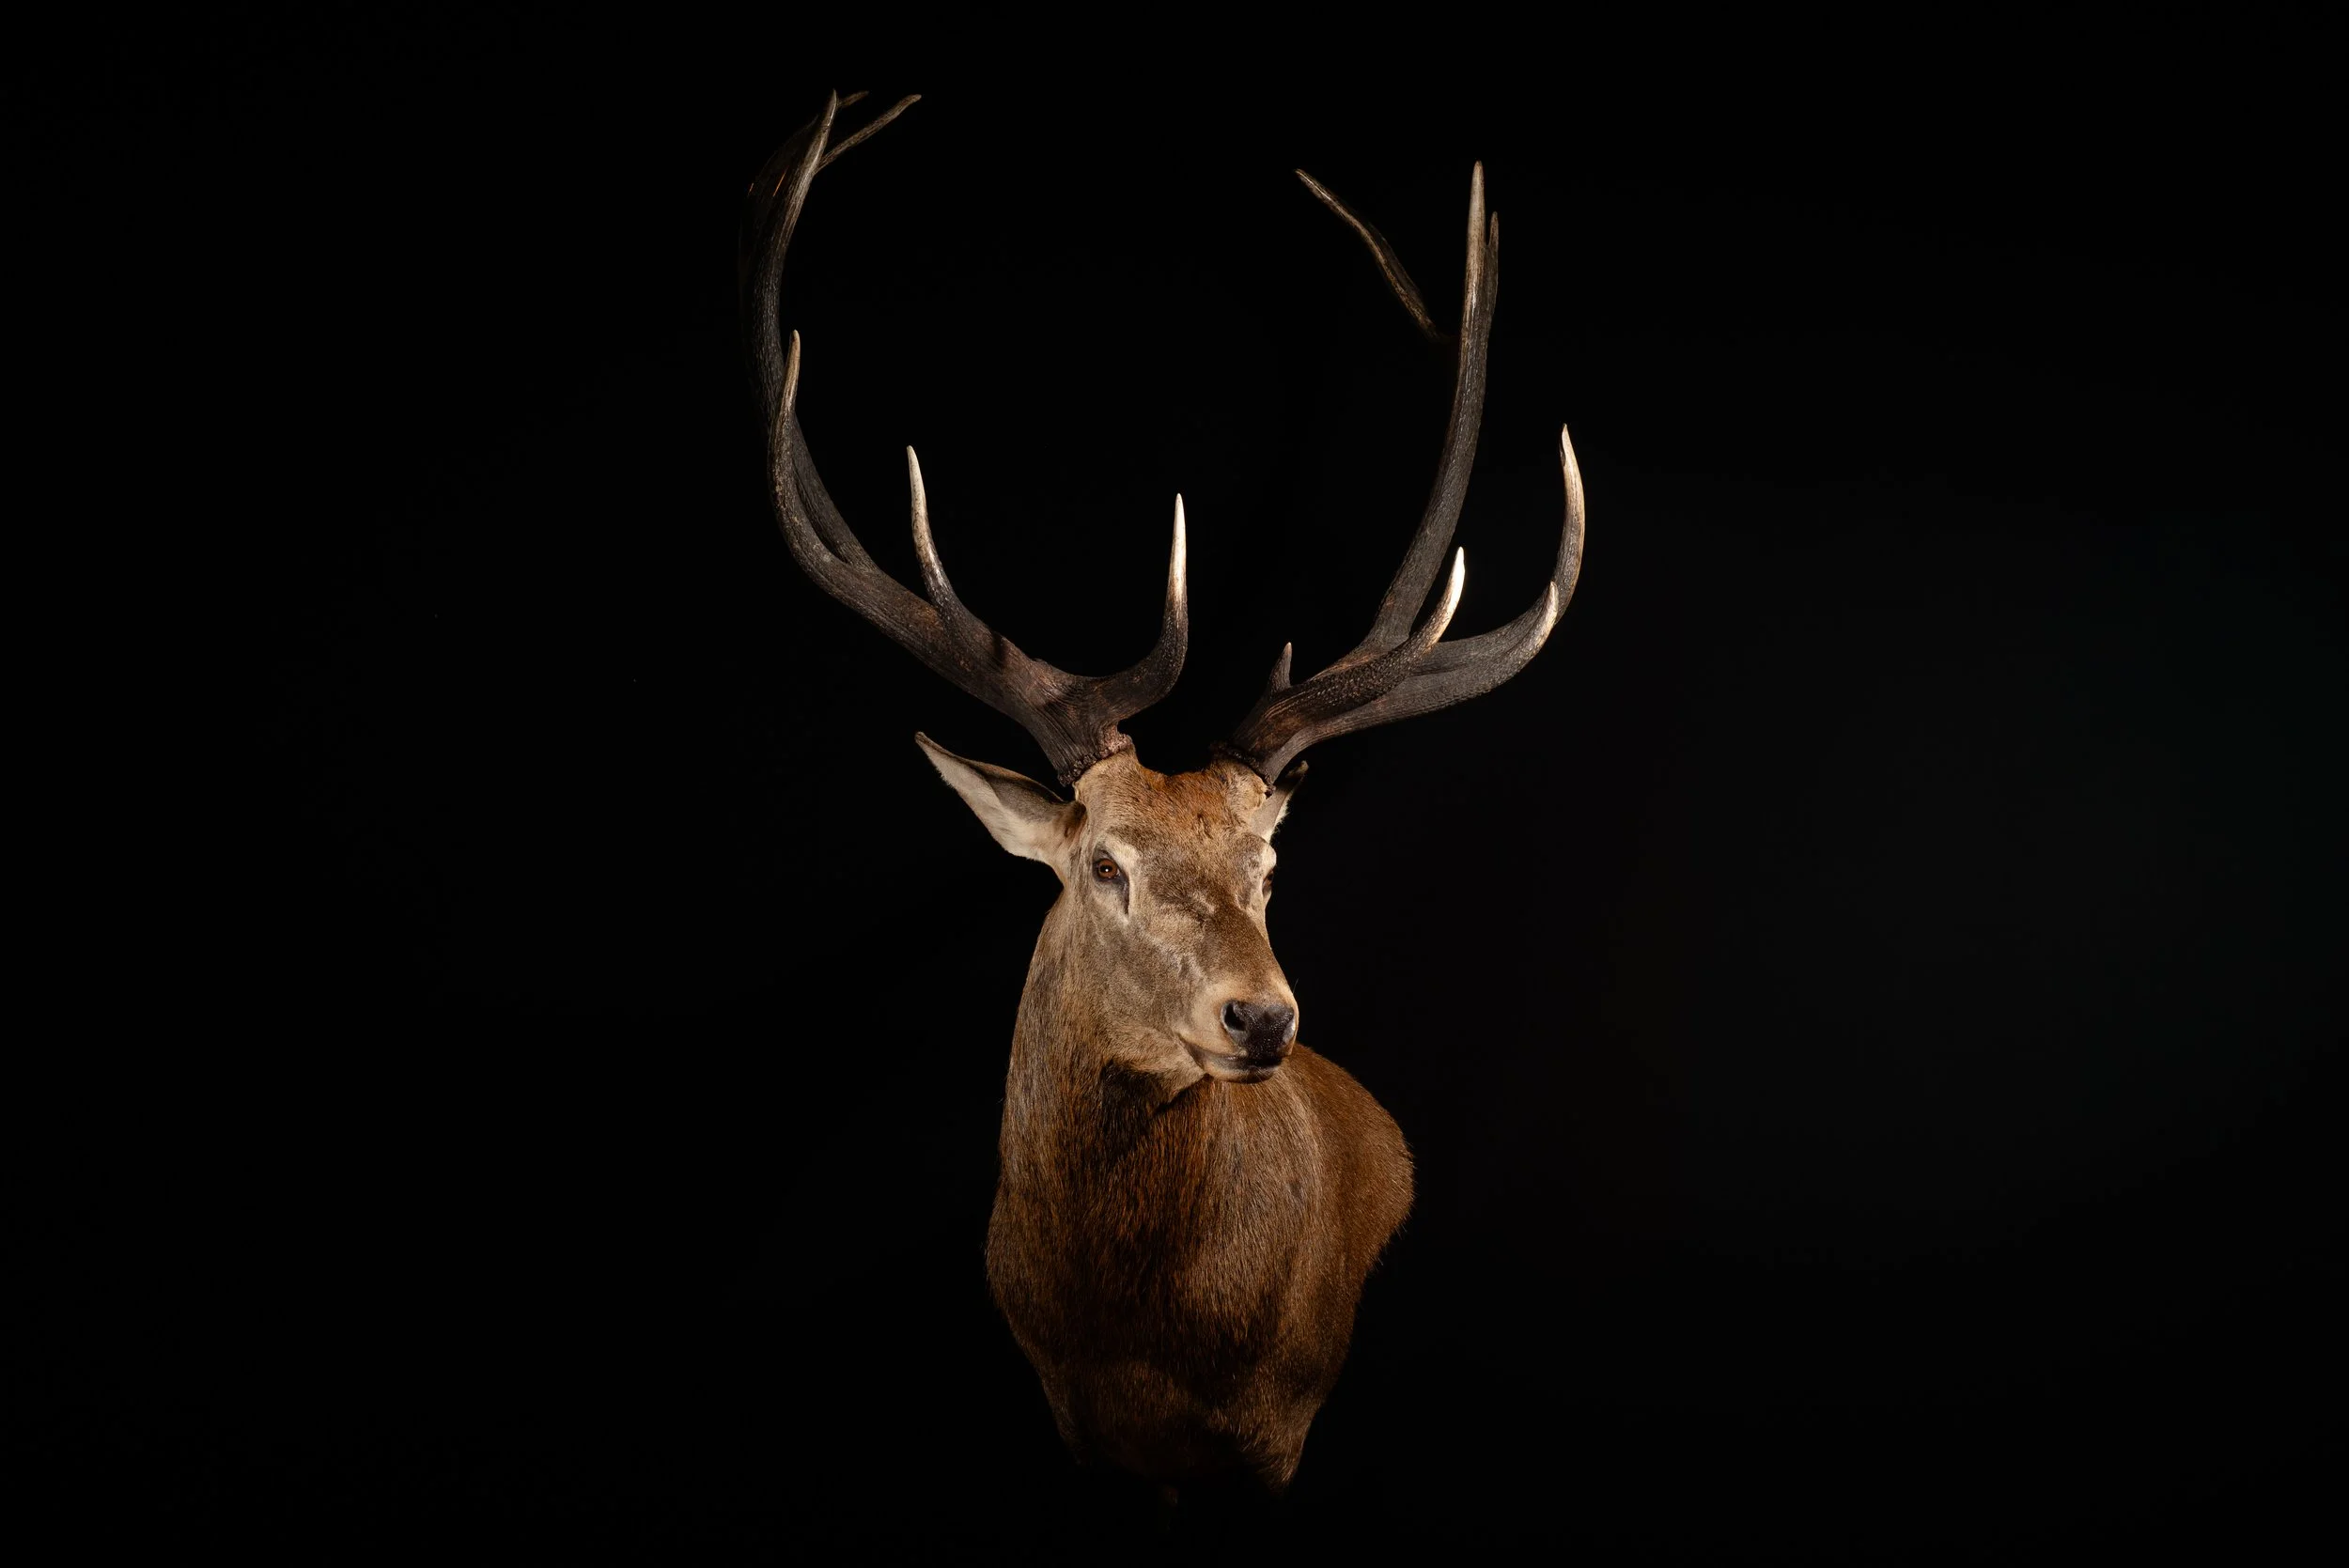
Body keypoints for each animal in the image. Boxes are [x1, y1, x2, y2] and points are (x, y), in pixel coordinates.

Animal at [742, 93, 1584, 1497]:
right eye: (1106, 864)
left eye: (1269, 868)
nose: (1261, 1017)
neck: (1136, 1349)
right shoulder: (1069, 1419)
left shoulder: (1281, 1421)